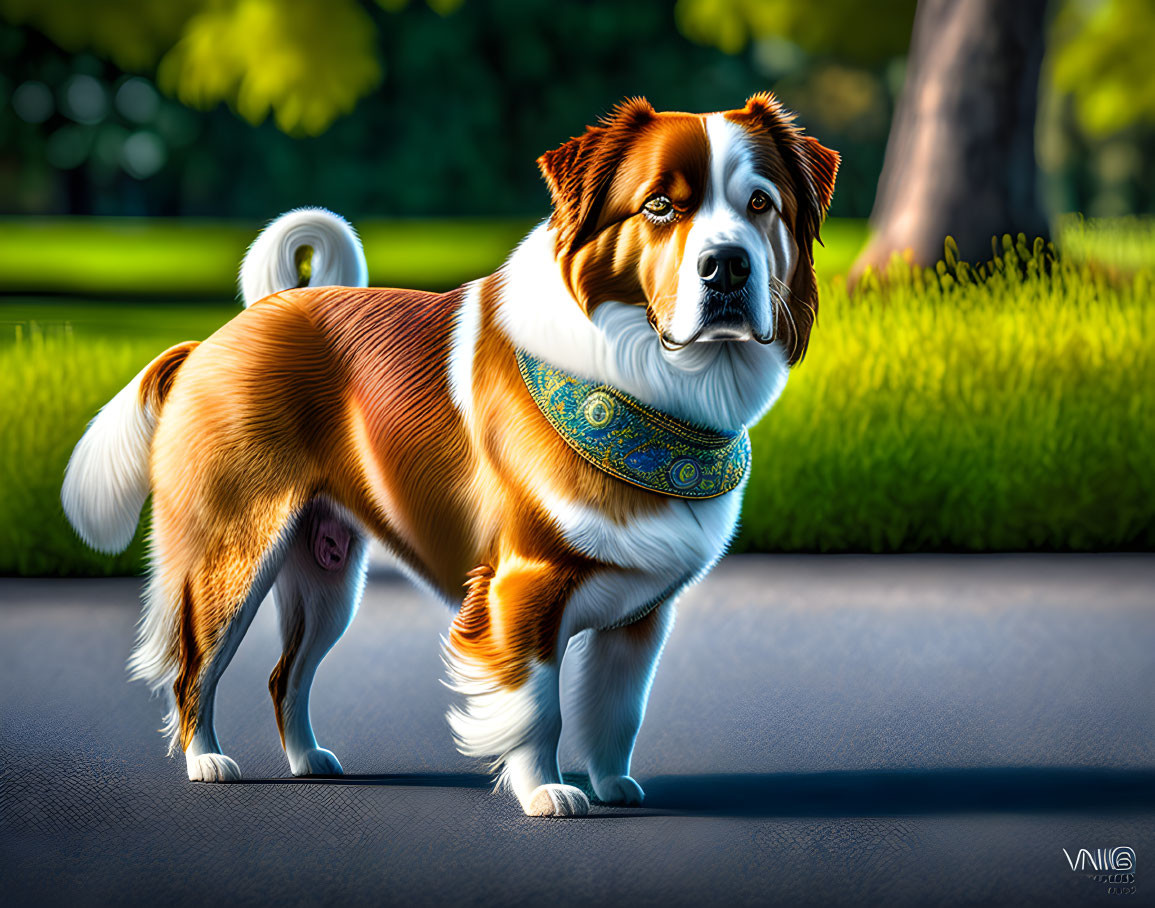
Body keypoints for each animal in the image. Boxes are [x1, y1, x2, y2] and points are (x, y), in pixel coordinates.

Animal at [63, 91, 836, 813]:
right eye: (659, 206)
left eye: (760, 205)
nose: (727, 267)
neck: (655, 385)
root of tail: (233, 328)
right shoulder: (521, 589)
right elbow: (538, 708)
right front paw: (545, 793)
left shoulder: (640, 620)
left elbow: (617, 711)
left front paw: (613, 785)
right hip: (232, 553)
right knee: (195, 666)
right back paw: (207, 761)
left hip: (327, 578)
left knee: (287, 674)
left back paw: (309, 761)